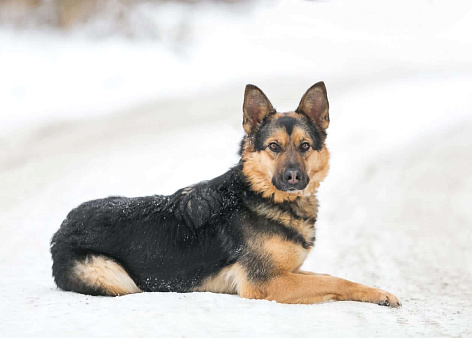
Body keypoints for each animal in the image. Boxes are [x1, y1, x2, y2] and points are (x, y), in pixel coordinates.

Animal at [50, 82, 402, 306]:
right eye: (274, 147)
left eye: (304, 146)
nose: (293, 177)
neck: (260, 196)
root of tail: (62, 227)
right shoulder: (267, 282)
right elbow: (333, 282)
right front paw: (379, 294)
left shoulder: (288, 271)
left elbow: (332, 275)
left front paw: (378, 293)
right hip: (115, 276)